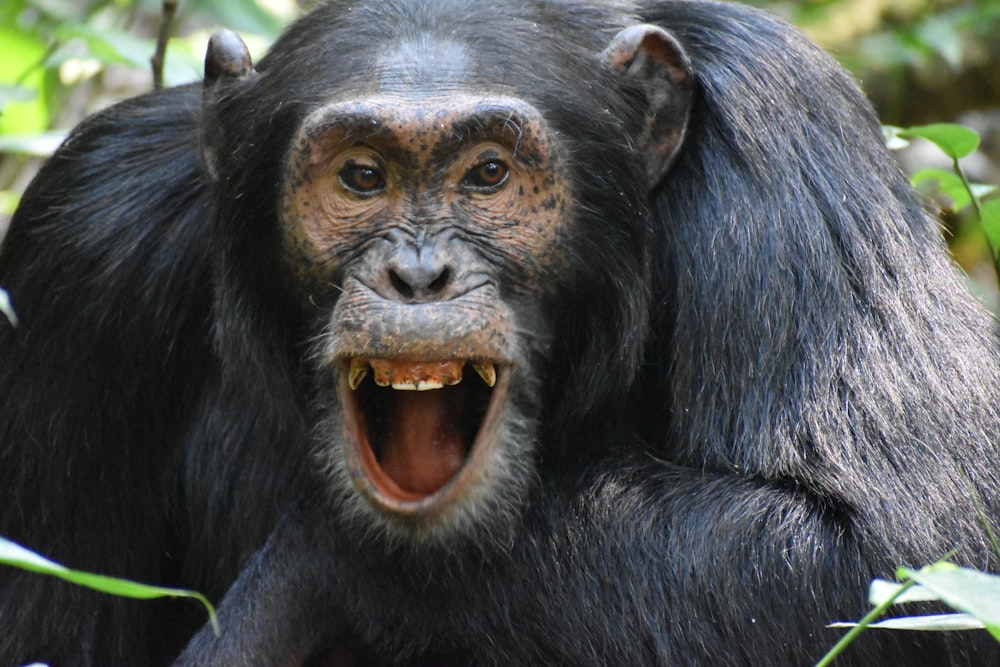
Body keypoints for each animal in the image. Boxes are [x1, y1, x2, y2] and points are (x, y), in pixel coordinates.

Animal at [1, 0, 1000, 664]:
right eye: (361, 176)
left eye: (488, 173)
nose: (418, 275)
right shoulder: (81, 239)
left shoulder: (789, 136)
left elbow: (901, 547)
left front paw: (297, 582)